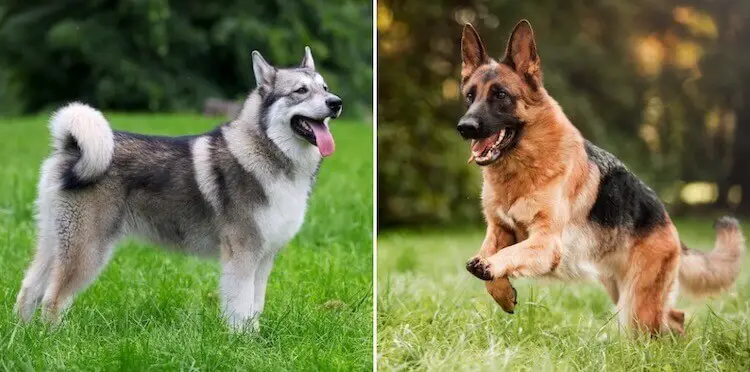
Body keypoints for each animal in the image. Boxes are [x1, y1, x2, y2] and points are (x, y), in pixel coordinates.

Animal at [14, 48, 344, 330]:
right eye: (300, 91)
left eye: (325, 87)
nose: (336, 103)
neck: (266, 151)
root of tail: (70, 147)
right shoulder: (242, 256)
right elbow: (239, 310)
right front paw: (241, 345)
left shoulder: (263, 260)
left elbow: (255, 308)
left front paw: (255, 341)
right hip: (87, 249)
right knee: (53, 300)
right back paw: (54, 338)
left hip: (55, 241)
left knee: (29, 288)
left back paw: (24, 336)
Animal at [458, 19, 748, 334]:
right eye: (470, 96)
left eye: (500, 95)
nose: (464, 127)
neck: (522, 168)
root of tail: (669, 224)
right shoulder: (499, 230)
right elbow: (487, 257)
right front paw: (501, 290)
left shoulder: (546, 243)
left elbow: (507, 256)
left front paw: (491, 269)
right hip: (621, 290)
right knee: (674, 316)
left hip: (636, 305)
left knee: (662, 323)